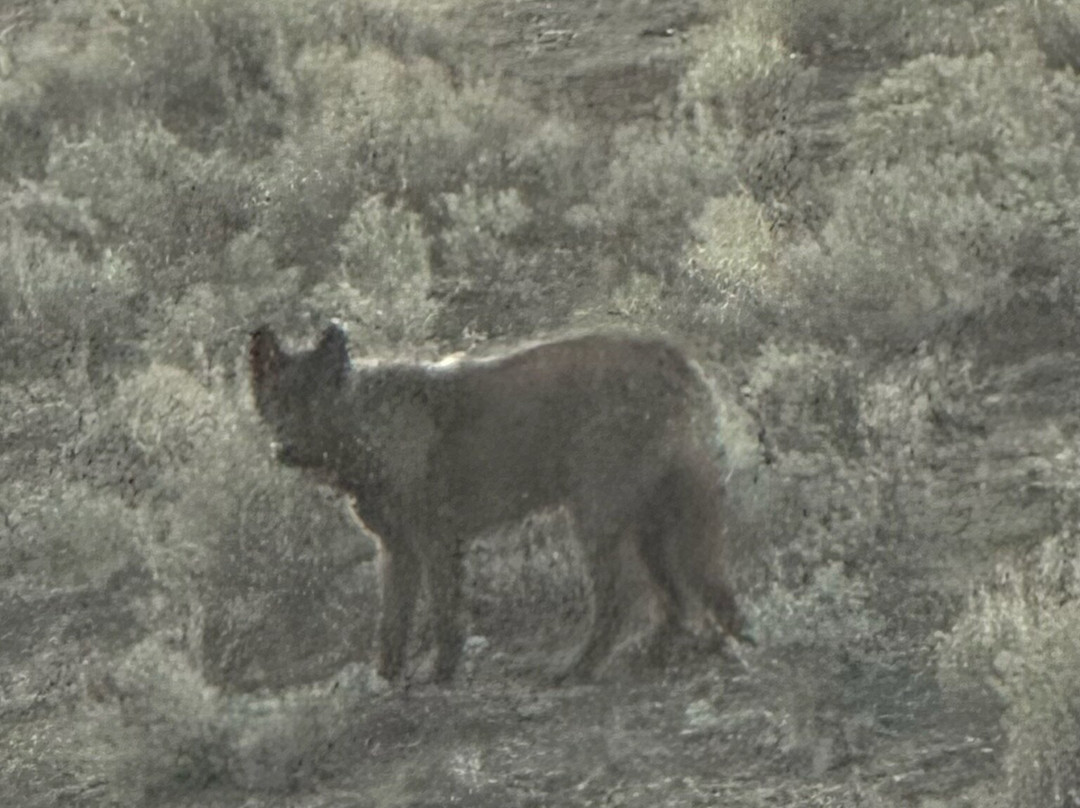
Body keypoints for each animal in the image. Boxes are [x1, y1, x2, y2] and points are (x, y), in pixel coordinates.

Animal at [248, 323, 749, 683]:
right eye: (277, 402)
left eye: (312, 401)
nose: (284, 448)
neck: (367, 427)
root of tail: (667, 354)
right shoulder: (397, 552)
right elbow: (392, 626)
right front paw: (388, 682)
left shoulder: (436, 545)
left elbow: (445, 619)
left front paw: (441, 677)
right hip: (649, 524)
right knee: (675, 599)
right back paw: (654, 656)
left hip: (598, 521)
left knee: (620, 599)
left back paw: (579, 669)